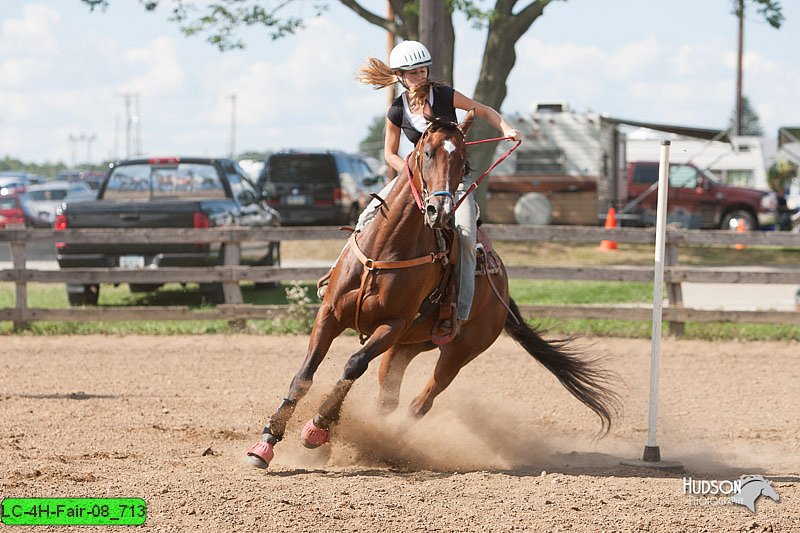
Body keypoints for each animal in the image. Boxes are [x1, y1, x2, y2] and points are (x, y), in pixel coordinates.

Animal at [247, 110, 620, 468]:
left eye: (464, 162)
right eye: (426, 153)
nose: (439, 210)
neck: (385, 249)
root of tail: (503, 292)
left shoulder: (392, 325)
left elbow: (353, 365)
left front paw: (317, 428)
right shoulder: (331, 314)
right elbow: (304, 375)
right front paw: (266, 442)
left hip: (459, 352)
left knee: (420, 402)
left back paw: (390, 445)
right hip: (406, 346)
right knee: (389, 399)